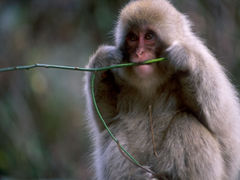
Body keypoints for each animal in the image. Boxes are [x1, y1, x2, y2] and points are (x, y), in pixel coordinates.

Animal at [84, 0, 240, 179]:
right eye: (132, 38)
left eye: (148, 37)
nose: (139, 52)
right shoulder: (118, 71)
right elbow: (105, 117)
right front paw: (101, 60)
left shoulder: (202, 55)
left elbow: (224, 122)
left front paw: (185, 59)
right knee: (115, 127)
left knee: (187, 122)